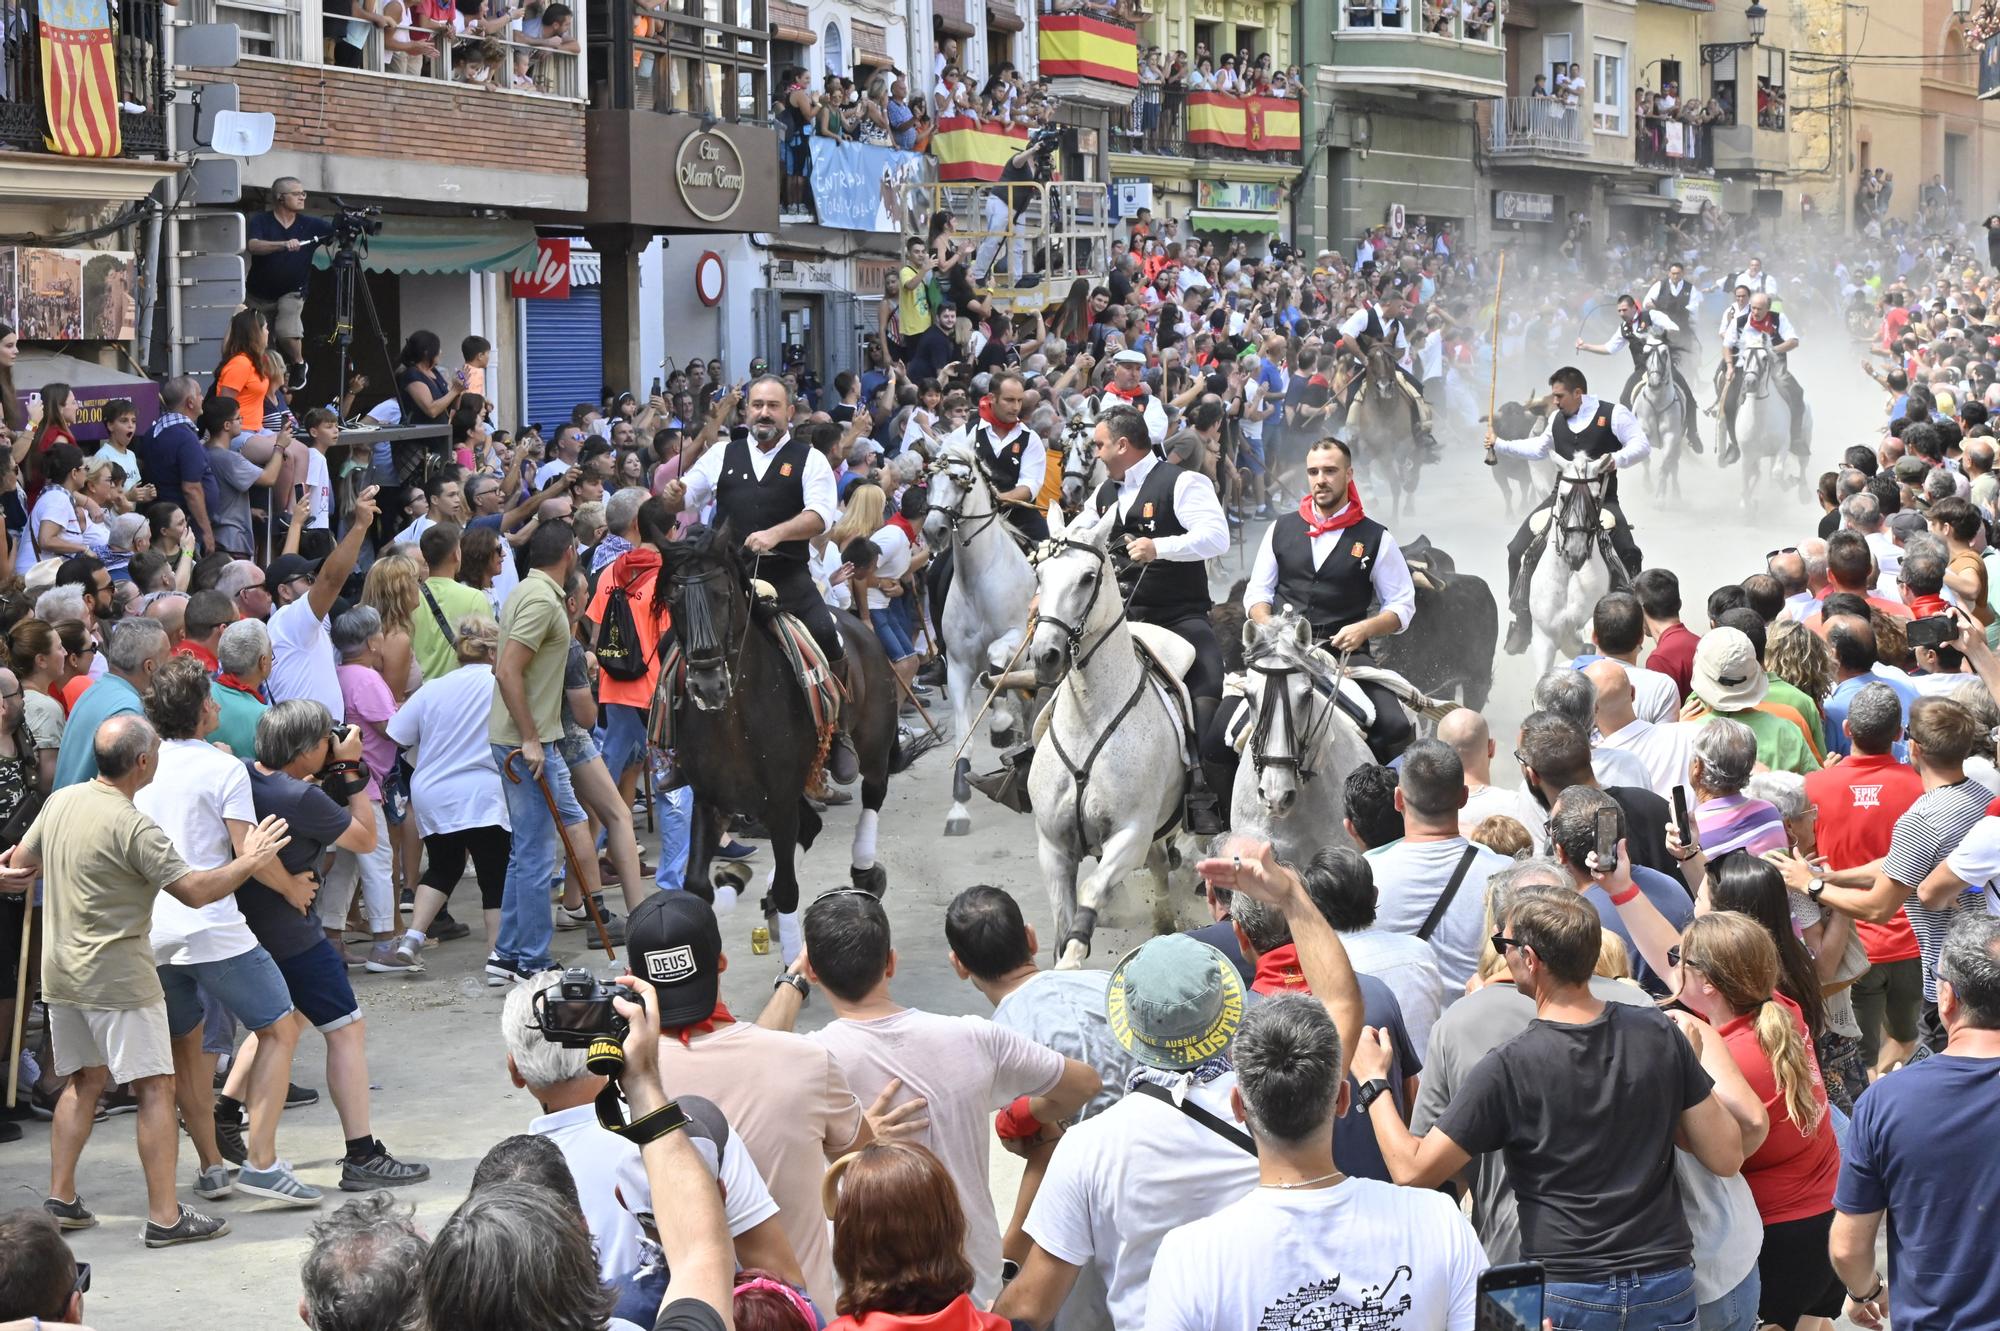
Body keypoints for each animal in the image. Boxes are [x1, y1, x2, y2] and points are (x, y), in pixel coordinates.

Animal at [656, 523, 900, 939]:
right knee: (812, 826)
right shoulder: (711, 800)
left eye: (723, 595)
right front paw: (731, 885)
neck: (733, 723)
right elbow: (697, 887)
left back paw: (865, 871)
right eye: (674, 600)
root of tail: (860, 625)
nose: (708, 685)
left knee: (873, 792)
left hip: (873, 746)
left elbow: (789, 891)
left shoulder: (780, 802)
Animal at [924, 437, 1040, 831]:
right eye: (927, 480)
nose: (933, 531)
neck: (979, 580)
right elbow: (964, 736)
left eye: (961, 480)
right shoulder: (957, 666)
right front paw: (959, 805)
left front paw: (1001, 726)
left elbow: (995, 665)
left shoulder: (1017, 639)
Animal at [1032, 497, 1184, 963]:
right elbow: (1063, 917)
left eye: (1087, 577)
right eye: (1040, 575)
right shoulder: (1053, 847)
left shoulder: (1130, 835)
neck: (1089, 718)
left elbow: (1092, 891)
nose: (1045, 656)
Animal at [1520, 455, 1616, 679]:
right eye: (1563, 496)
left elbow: (1590, 633)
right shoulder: (1543, 640)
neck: (1571, 574)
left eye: (1596, 498)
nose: (1576, 552)